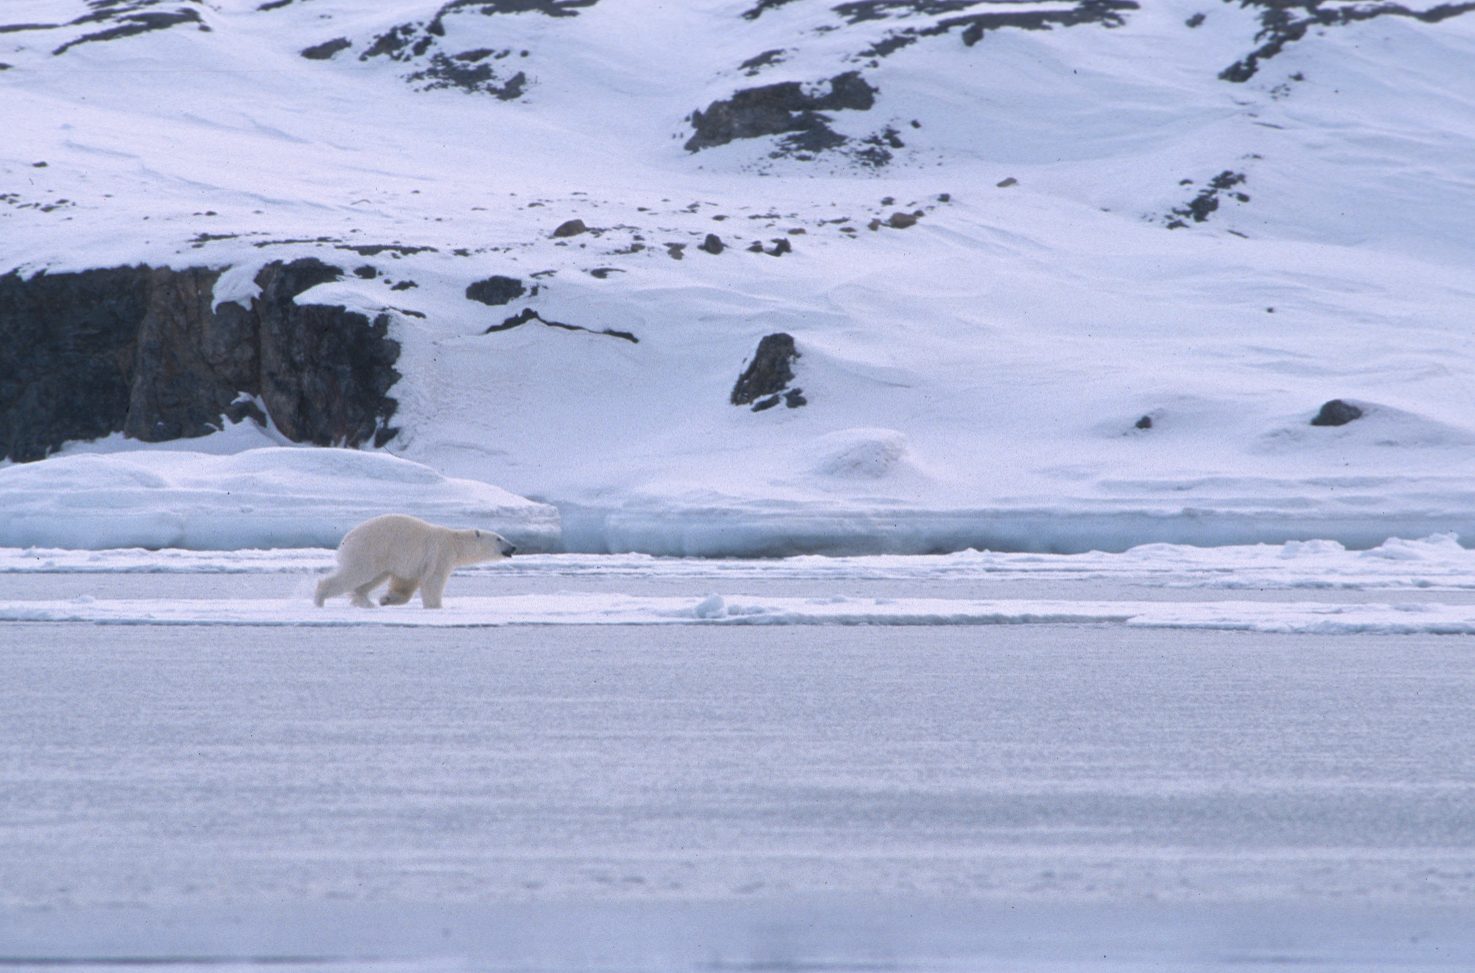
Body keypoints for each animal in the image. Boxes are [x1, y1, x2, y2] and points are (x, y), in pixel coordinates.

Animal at [314, 514, 515, 609]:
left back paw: (367, 602)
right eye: (499, 538)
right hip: (368, 550)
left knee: (372, 578)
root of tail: (346, 539)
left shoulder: (414, 564)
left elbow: (405, 583)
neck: (454, 541)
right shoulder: (440, 554)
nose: (513, 547)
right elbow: (433, 580)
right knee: (356, 574)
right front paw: (436, 606)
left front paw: (386, 599)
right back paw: (320, 600)